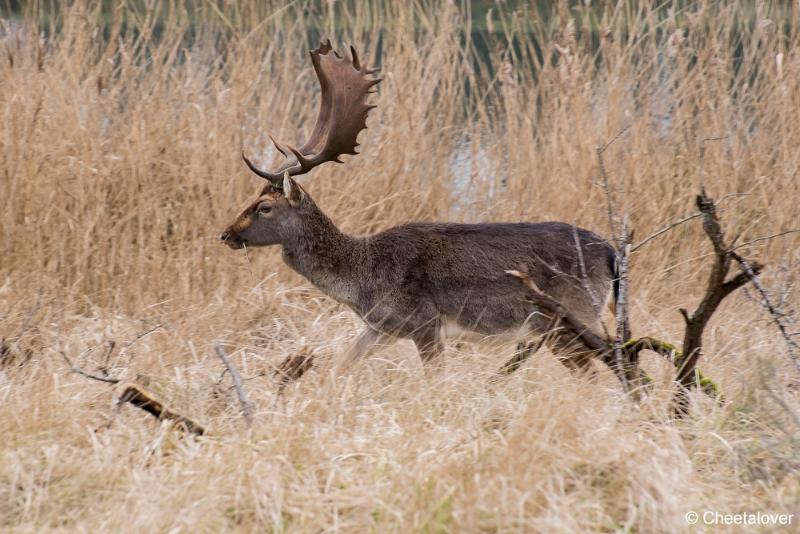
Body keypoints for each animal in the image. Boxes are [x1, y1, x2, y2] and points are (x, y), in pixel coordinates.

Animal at [222, 42, 616, 372]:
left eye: (264, 207)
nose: (226, 234)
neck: (362, 280)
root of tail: (612, 254)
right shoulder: (382, 327)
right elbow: (340, 366)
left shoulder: (424, 322)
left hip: (570, 315)